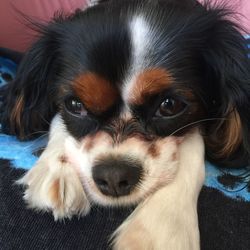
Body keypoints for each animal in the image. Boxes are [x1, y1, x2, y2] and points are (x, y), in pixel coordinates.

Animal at [0, 0, 249, 249]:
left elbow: (192, 141)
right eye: (75, 104)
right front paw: (58, 168)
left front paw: (160, 225)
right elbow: (58, 120)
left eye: (169, 105)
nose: (113, 177)